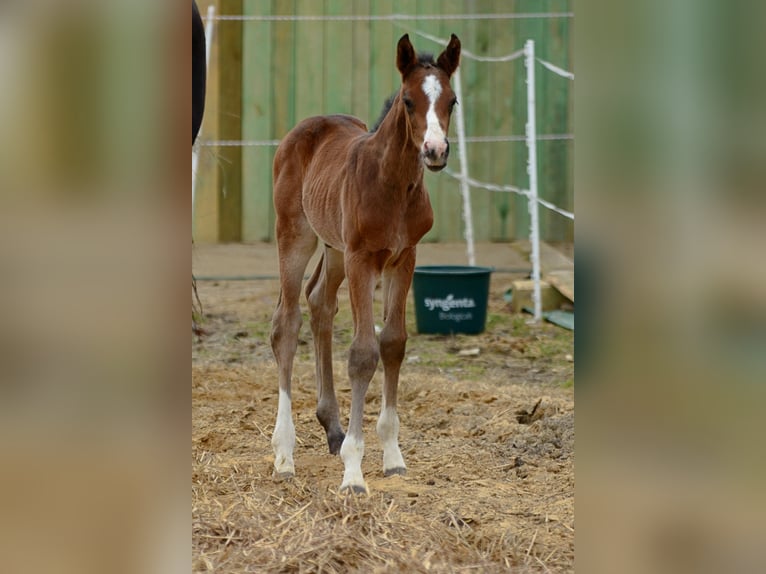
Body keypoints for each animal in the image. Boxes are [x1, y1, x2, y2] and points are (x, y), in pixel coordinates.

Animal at [270, 33, 461, 494]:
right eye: (407, 101)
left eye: (452, 101)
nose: (435, 151)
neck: (394, 184)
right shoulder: (362, 258)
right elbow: (361, 353)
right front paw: (354, 472)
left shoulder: (403, 258)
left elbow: (392, 343)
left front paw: (392, 455)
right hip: (296, 235)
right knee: (286, 322)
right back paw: (284, 453)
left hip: (334, 247)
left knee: (319, 301)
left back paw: (332, 426)